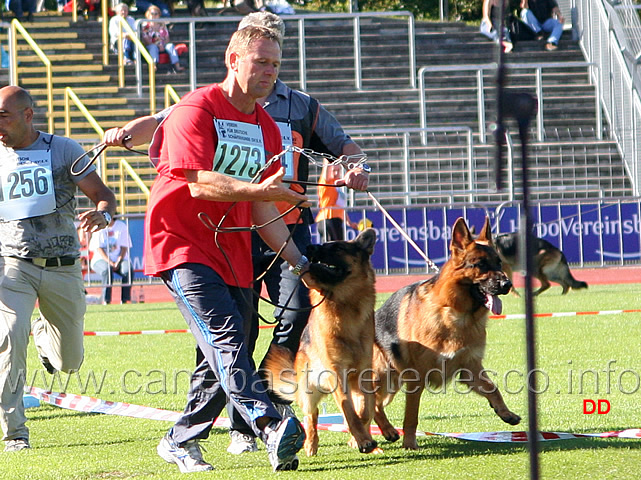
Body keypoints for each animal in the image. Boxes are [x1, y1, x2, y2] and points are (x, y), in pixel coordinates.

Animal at [262, 231, 380, 456]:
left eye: (337, 248)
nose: (309, 247)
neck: (344, 305)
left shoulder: (363, 373)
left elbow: (364, 410)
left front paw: (362, 436)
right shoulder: (337, 375)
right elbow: (349, 410)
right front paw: (362, 439)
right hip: (309, 390)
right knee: (312, 415)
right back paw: (310, 443)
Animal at [370, 218, 520, 450]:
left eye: (498, 263)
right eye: (481, 264)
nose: (508, 284)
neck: (455, 312)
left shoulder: (470, 369)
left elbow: (492, 388)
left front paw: (505, 412)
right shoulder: (416, 378)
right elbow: (411, 416)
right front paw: (410, 443)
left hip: (391, 386)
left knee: (376, 404)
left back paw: (386, 430)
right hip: (381, 376)